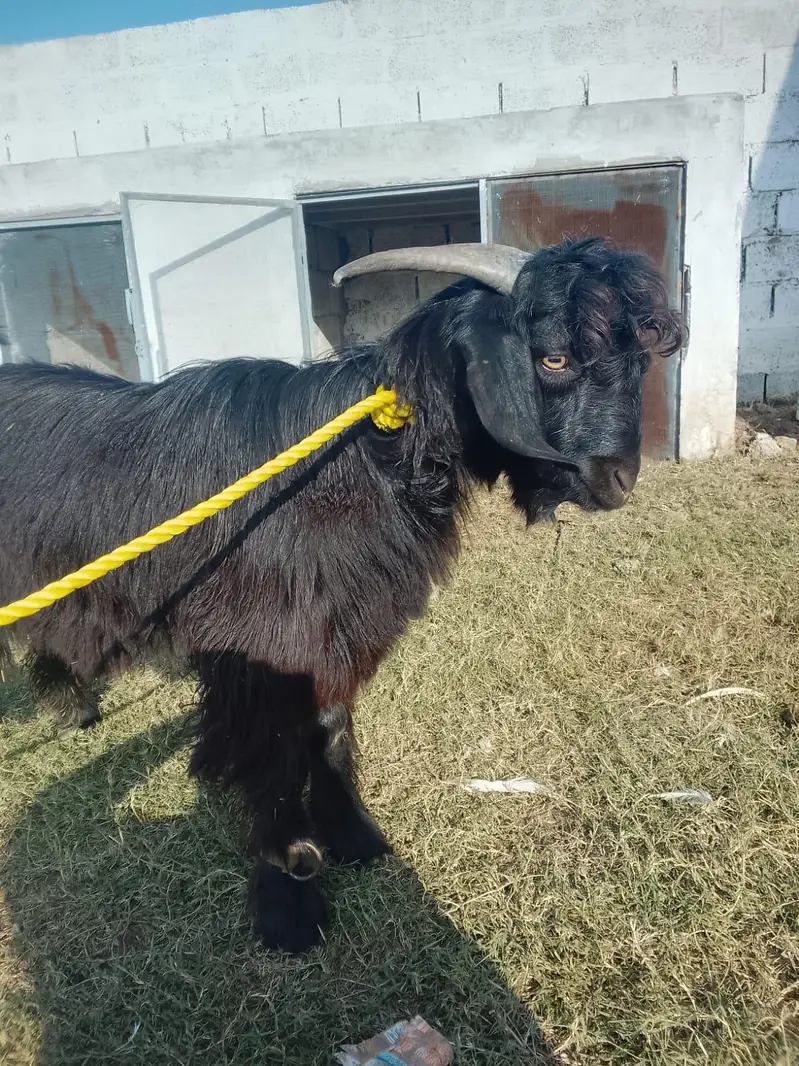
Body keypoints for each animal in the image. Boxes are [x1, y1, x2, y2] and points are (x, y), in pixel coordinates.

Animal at [0, 237, 683, 953]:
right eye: (554, 357)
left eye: (637, 358)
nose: (619, 480)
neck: (357, 463)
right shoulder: (263, 644)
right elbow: (273, 750)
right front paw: (289, 898)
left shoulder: (334, 630)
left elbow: (329, 728)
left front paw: (354, 835)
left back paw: (75, 708)